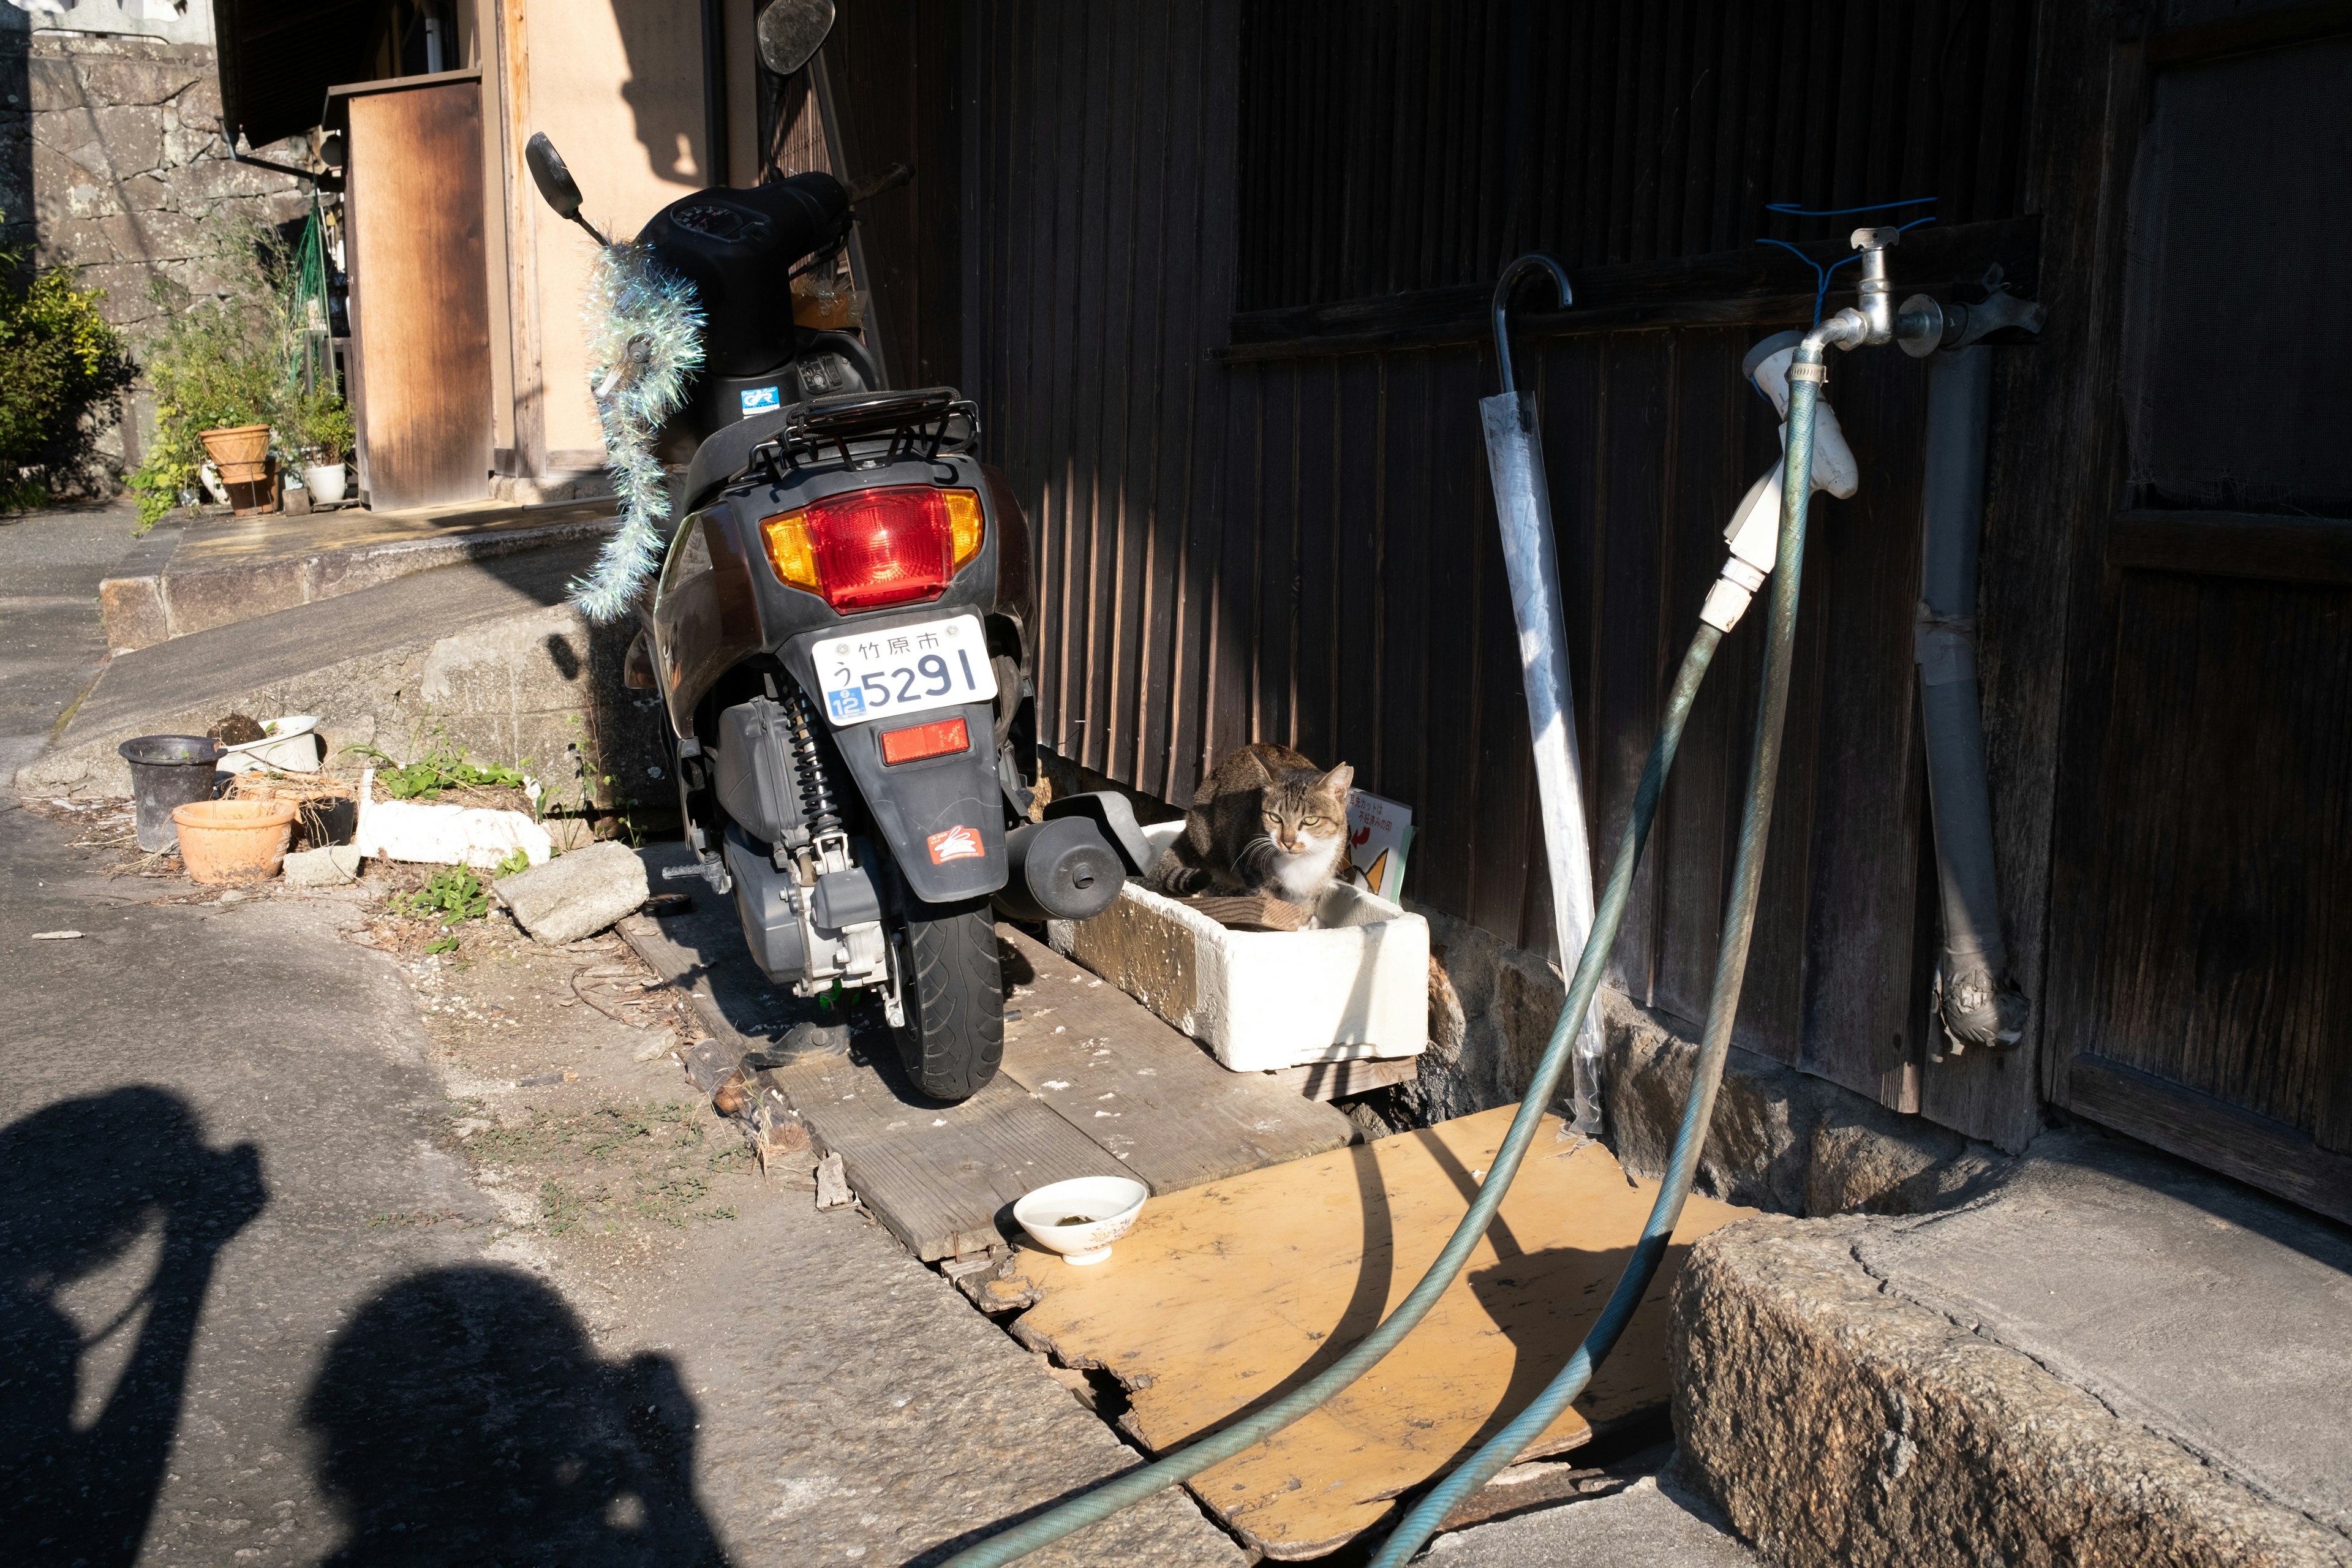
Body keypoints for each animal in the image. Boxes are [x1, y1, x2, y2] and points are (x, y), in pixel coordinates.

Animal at [1147, 742, 1354, 902]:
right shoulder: (1250, 867)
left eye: (1310, 820)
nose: (1287, 842)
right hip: (1206, 839)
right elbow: (1266, 903)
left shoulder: (1313, 884)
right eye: (1275, 818)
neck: (1299, 862)